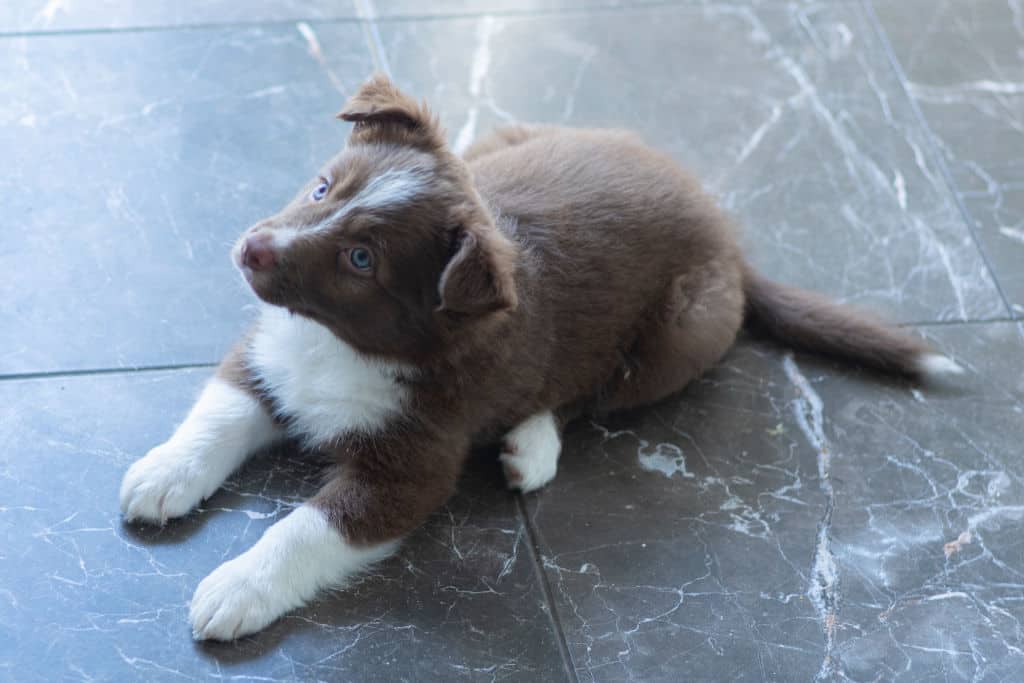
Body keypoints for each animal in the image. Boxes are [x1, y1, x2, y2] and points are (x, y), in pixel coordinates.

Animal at [119, 74, 958, 643]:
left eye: (362, 260)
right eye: (324, 186)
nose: (251, 248)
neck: (342, 342)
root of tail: (729, 236)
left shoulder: (411, 464)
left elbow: (310, 527)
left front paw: (236, 586)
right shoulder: (268, 353)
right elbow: (222, 411)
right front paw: (163, 472)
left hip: (681, 331)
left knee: (587, 393)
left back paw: (533, 442)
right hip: (502, 140)